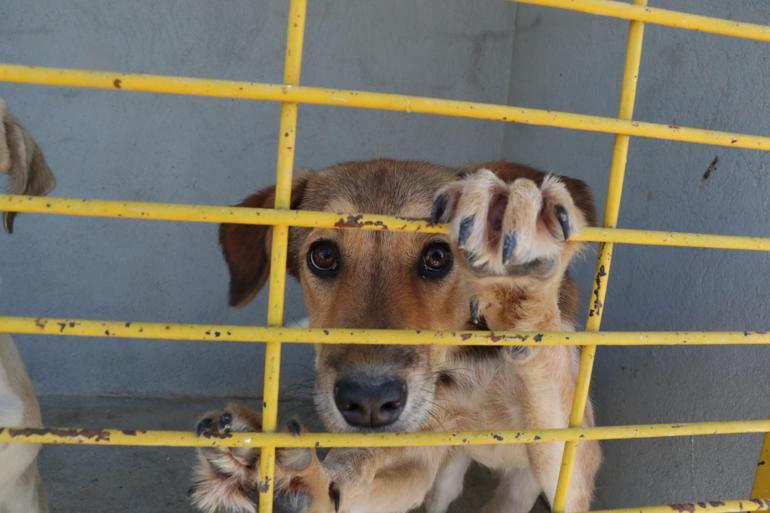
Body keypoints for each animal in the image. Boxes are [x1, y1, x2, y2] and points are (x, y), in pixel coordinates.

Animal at [190, 159, 600, 512]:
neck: (471, 372)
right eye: (323, 255)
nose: (368, 402)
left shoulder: (576, 462)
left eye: (438, 257)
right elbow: (347, 483)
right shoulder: (421, 450)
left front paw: (517, 268)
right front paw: (293, 481)